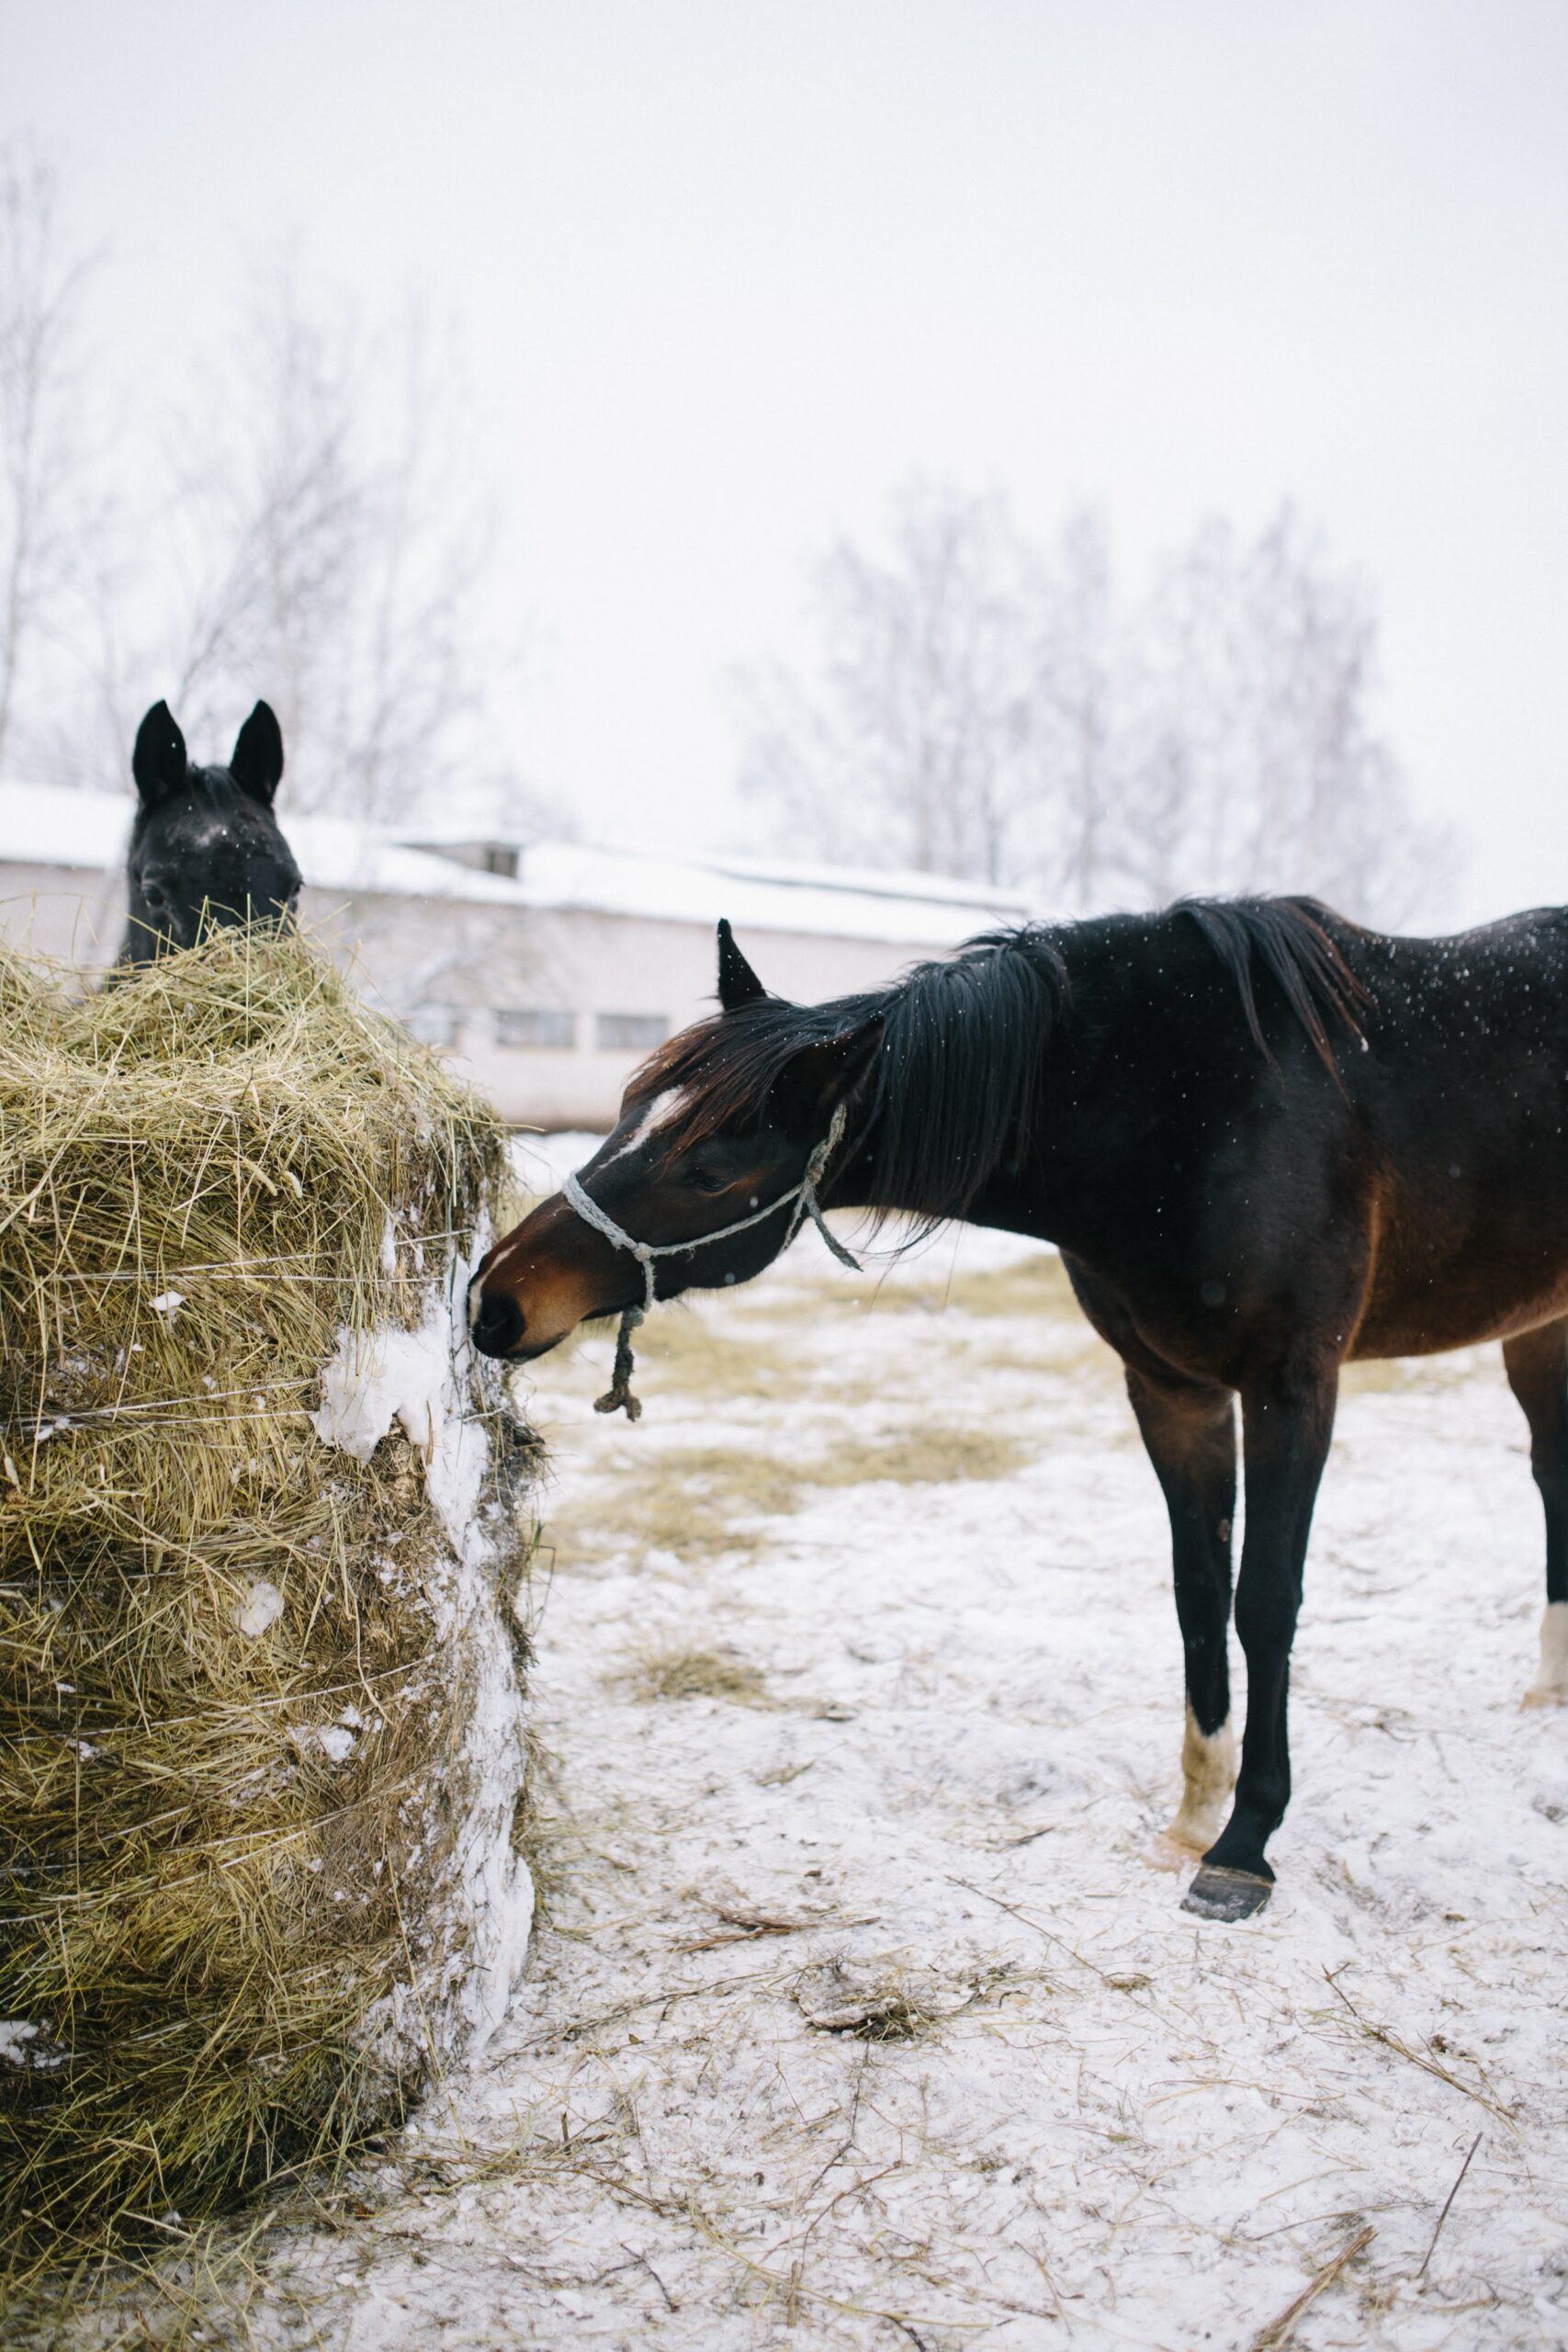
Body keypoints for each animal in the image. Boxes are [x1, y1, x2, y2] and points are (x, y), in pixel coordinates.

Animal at [472, 908, 1568, 1918]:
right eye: (626, 1108)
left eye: (707, 1170)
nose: (496, 1299)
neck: (1191, 1103)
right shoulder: (1170, 1388)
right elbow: (1198, 1595)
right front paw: (1192, 1815)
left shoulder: (1293, 1387)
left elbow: (1264, 1602)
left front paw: (1244, 1843)